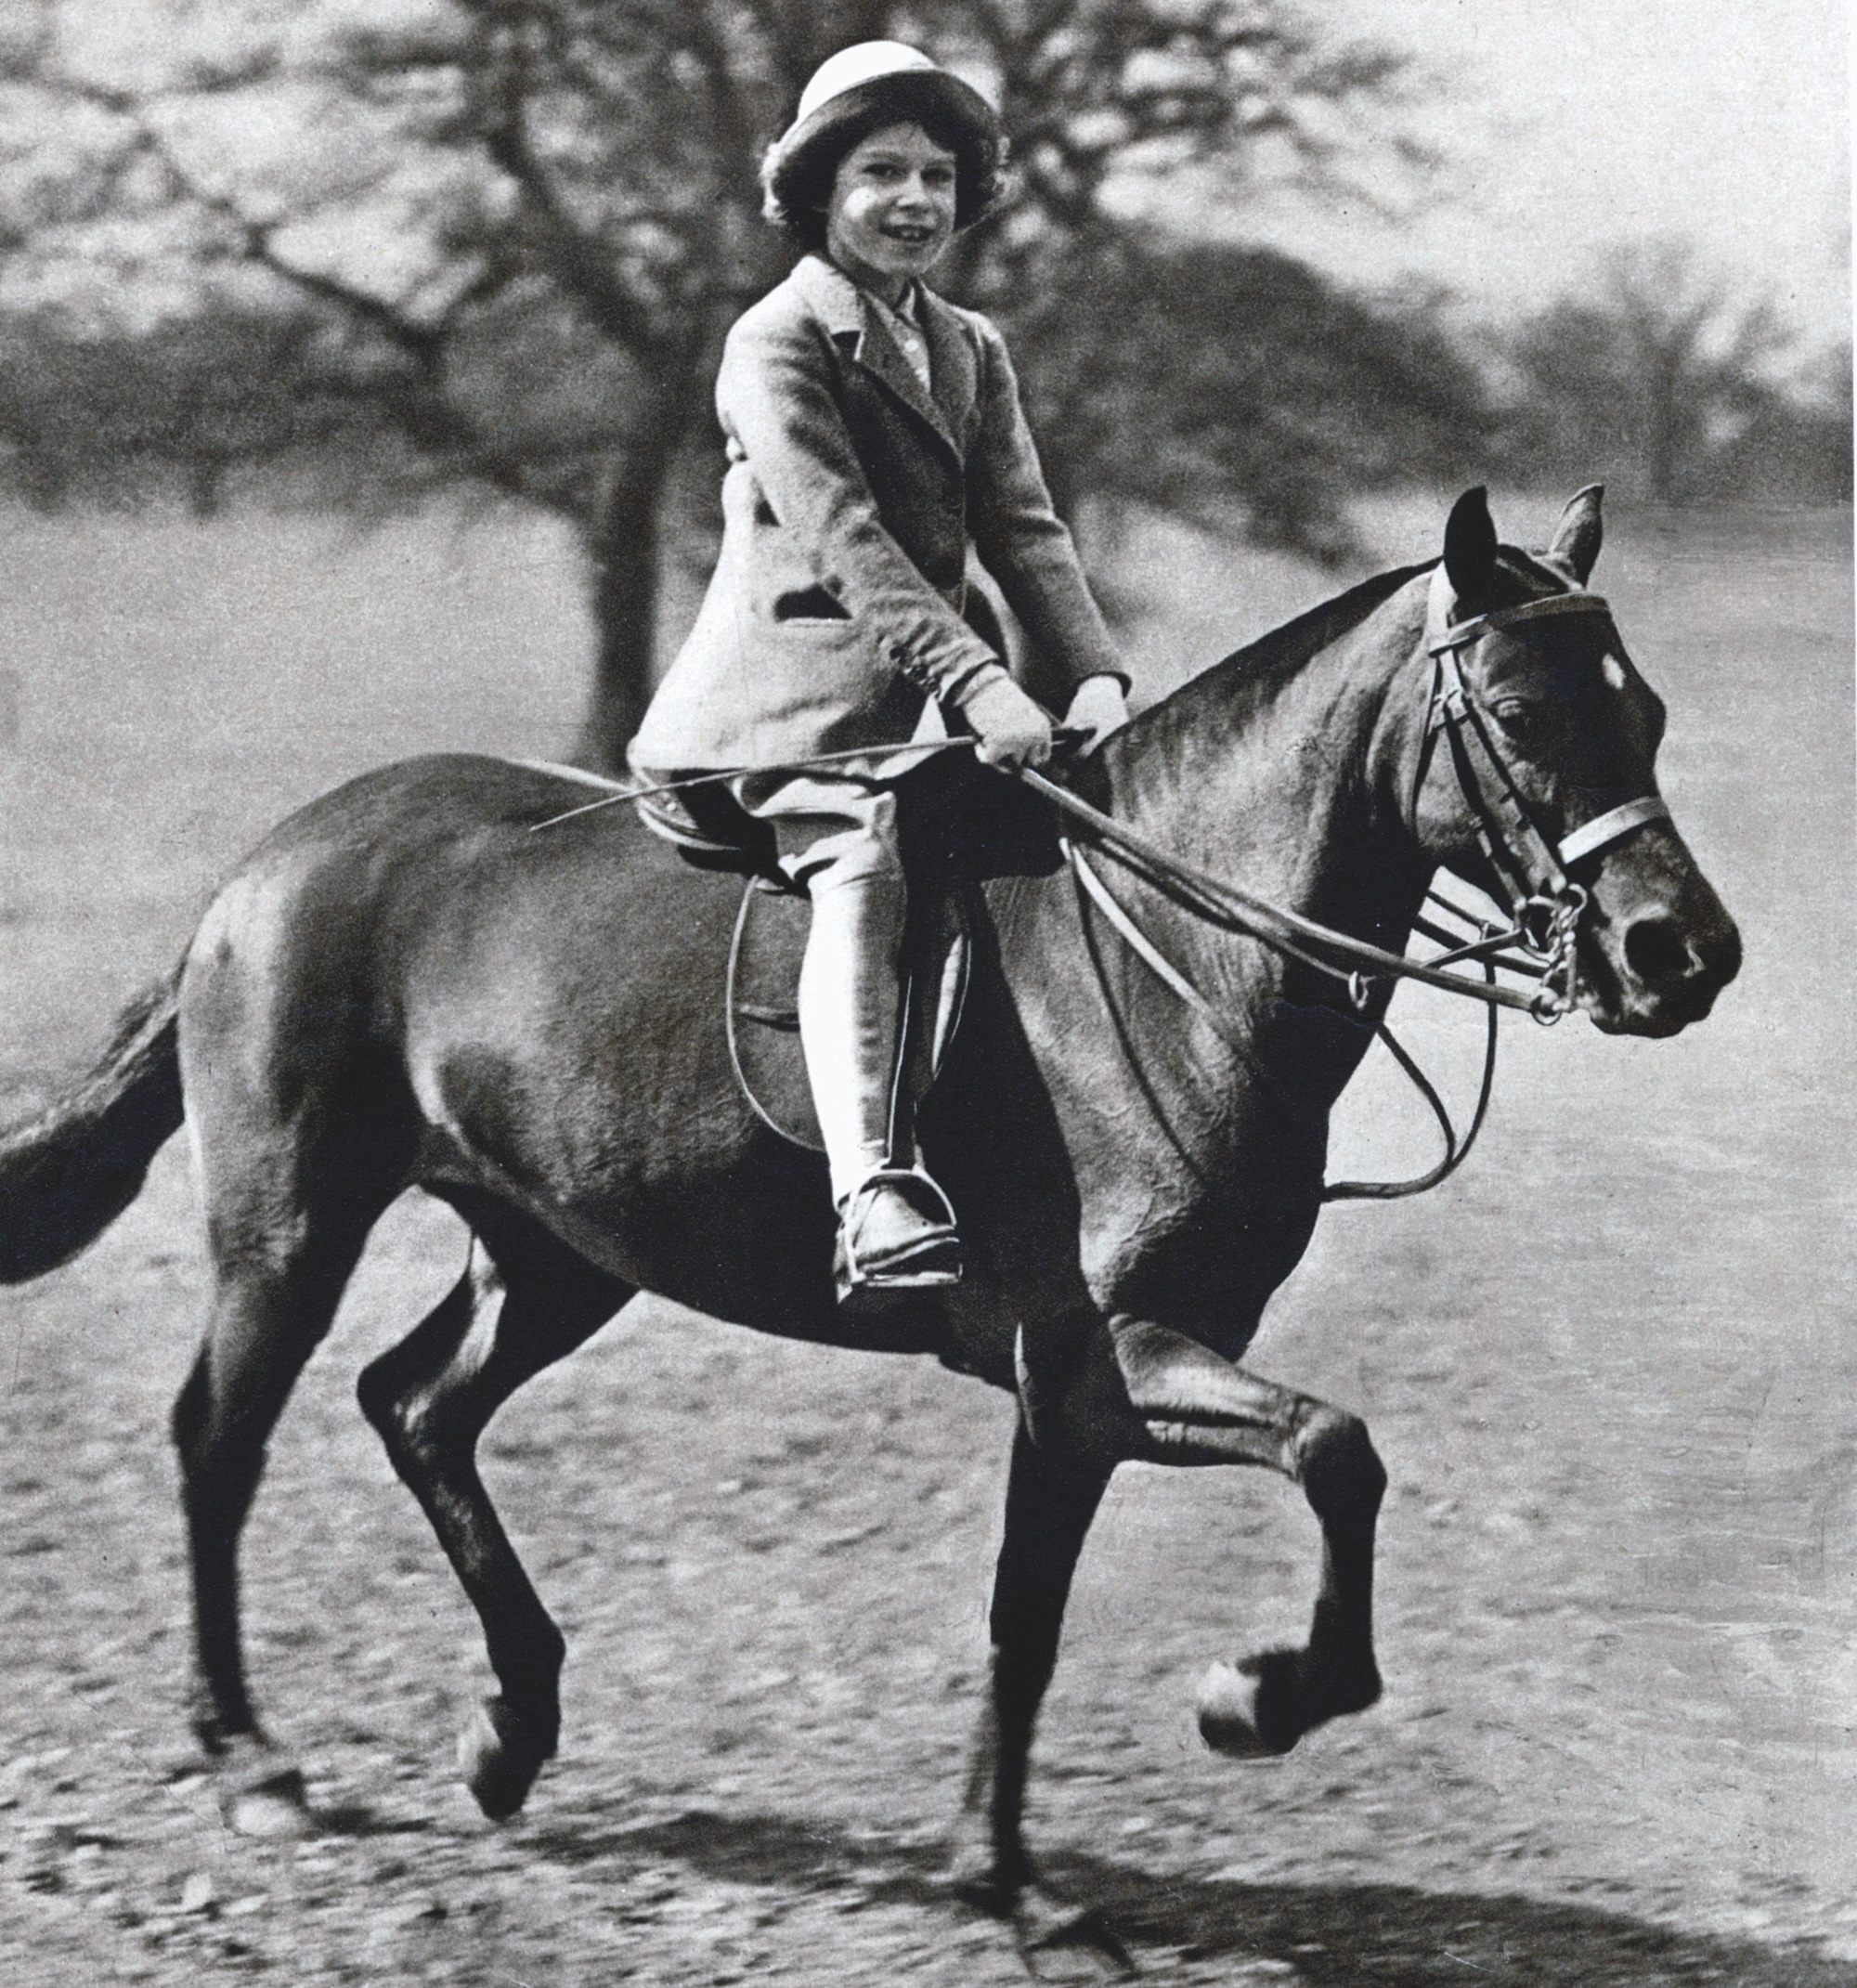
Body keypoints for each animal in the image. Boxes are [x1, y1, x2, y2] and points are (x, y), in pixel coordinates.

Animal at [0, 487, 1738, 1943]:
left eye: (1644, 709)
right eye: (1520, 711)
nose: (1683, 955)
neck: (1174, 953)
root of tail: (268, 863)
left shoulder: (1105, 1386)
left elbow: (1086, 1587)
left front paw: (1040, 1837)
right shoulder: (1101, 1357)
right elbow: (1300, 1470)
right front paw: (1210, 1730)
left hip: (557, 1252)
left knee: (414, 1405)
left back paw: (512, 1730)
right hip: (291, 1230)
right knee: (222, 1440)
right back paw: (252, 1757)